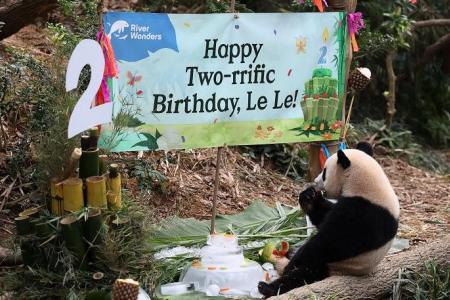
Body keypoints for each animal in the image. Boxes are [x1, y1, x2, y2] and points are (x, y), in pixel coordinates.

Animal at [258, 143, 400, 298]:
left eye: (325, 172)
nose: (315, 181)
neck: (368, 186)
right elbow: (323, 216)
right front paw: (309, 197)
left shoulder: (365, 214)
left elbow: (332, 242)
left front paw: (293, 264)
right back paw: (289, 253)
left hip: (334, 266)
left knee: (302, 276)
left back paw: (268, 286)